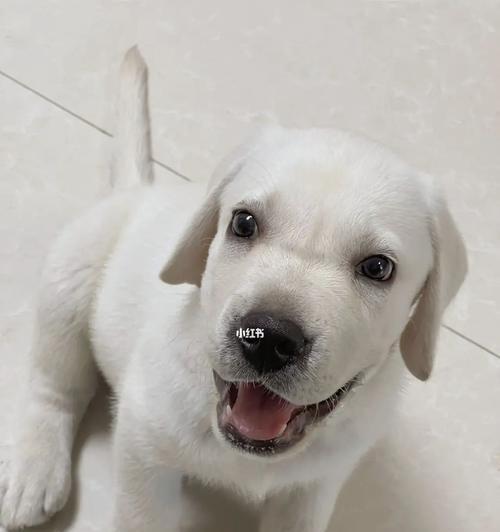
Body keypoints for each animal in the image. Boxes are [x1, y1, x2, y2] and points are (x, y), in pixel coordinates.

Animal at [0, 46, 468, 532]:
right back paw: (34, 470)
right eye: (243, 223)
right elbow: (142, 516)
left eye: (378, 268)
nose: (268, 339)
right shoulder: (144, 444)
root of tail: (138, 192)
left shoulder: (314, 484)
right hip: (69, 276)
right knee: (55, 384)